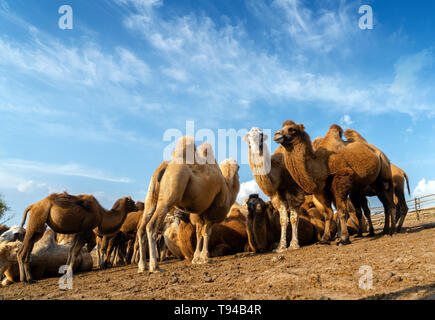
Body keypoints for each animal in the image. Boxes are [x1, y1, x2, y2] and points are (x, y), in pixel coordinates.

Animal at [137, 136, 242, 272]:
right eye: (238, 167)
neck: (228, 187)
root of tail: (165, 166)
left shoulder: (199, 214)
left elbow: (199, 233)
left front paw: (196, 259)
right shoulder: (211, 211)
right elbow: (207, 232)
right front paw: (206, 258)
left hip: (151, 198)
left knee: (141, 229)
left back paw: (142, 266)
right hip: (168, 198)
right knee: (151, 226)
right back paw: (155, 266)